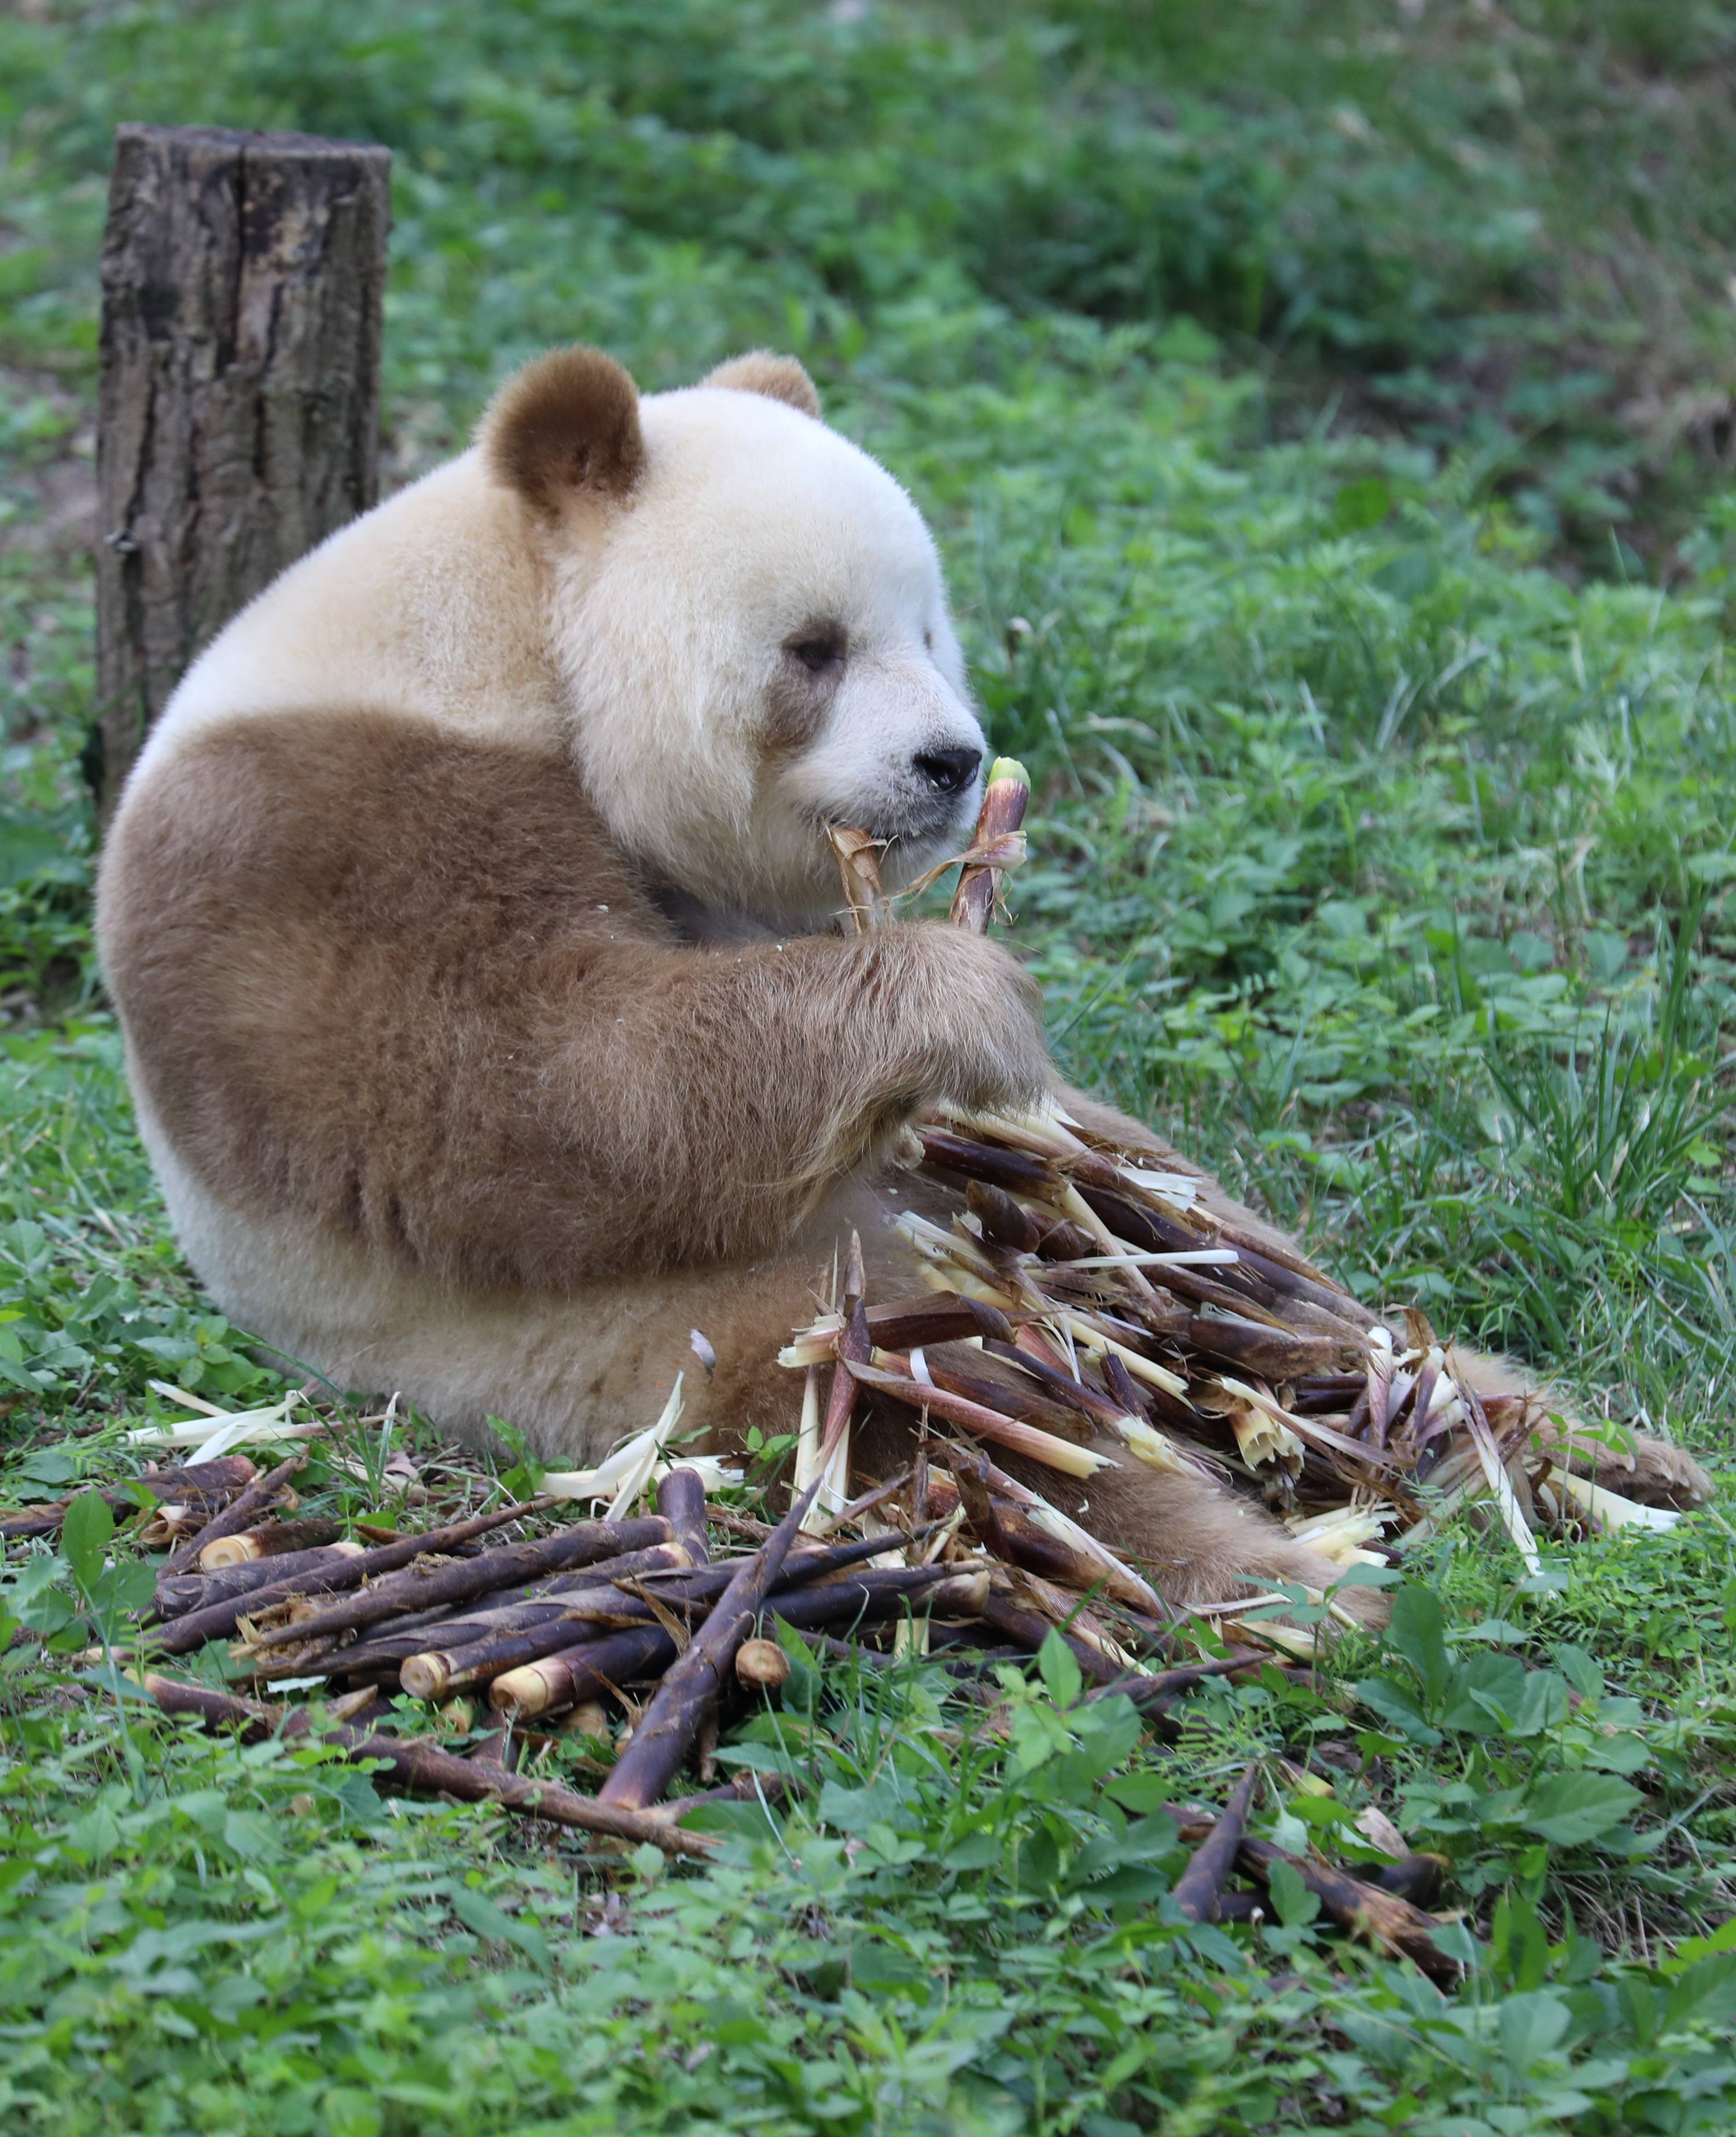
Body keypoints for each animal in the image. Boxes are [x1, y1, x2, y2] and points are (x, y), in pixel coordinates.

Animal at [95, 346, 1710, 1615]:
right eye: (812, 648)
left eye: (928, 623)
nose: (949, 761)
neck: (499, 627)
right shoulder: (325, 827)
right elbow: (524, 1101)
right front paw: (957, 995)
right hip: (664, 1337)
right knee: (958, 1407)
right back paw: (1287, 1569)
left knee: (1287, 1286)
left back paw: (1580, 1448)